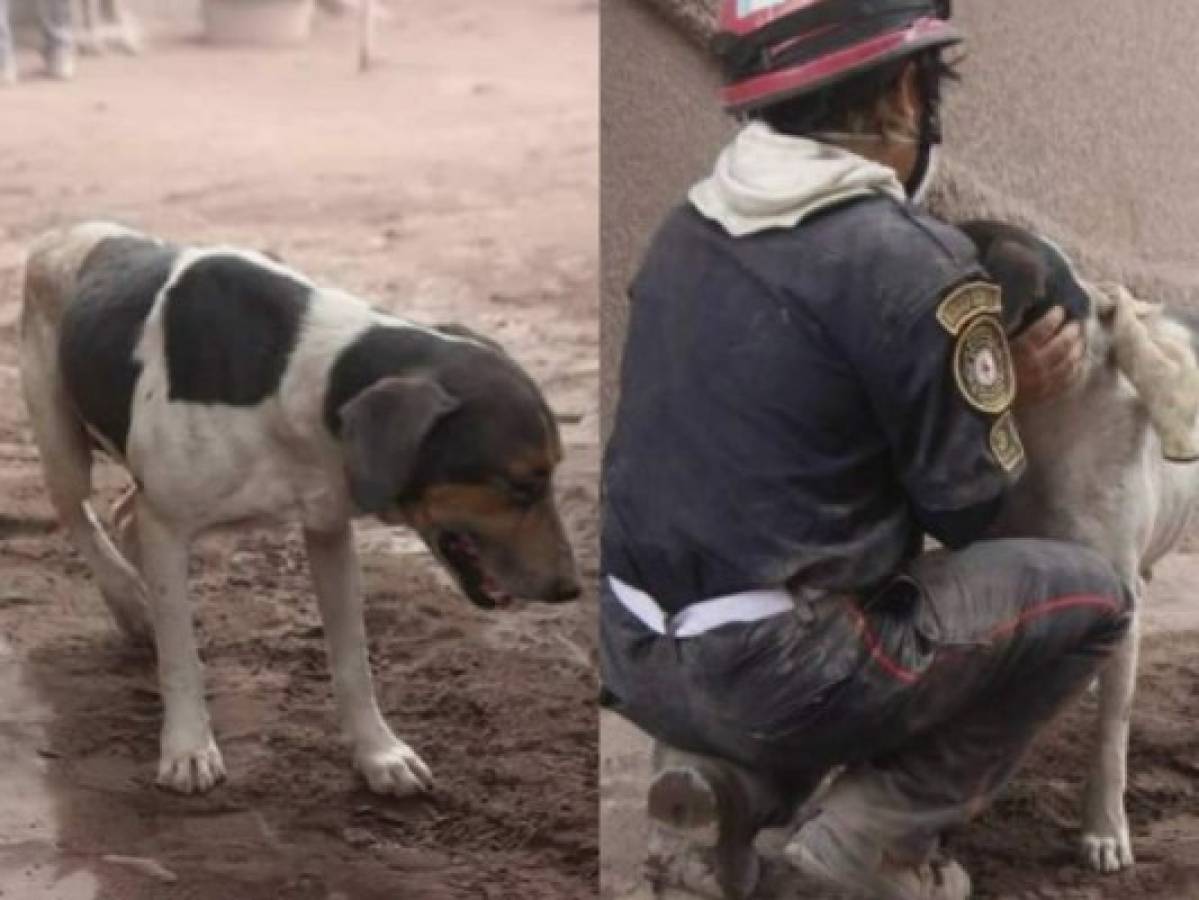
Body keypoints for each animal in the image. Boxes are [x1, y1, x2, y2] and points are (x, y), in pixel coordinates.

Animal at [18, 224, 580, 795]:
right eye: (522, 484)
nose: (571, 588)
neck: (299, 379)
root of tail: (68, 233)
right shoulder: (169, 524)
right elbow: (181, 660)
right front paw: (188, 748)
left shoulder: (328, 525)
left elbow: (353, 659)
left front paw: (378, 753)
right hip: (61, 441)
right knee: (78, 515)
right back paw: (130, 598)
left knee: (126, 513)